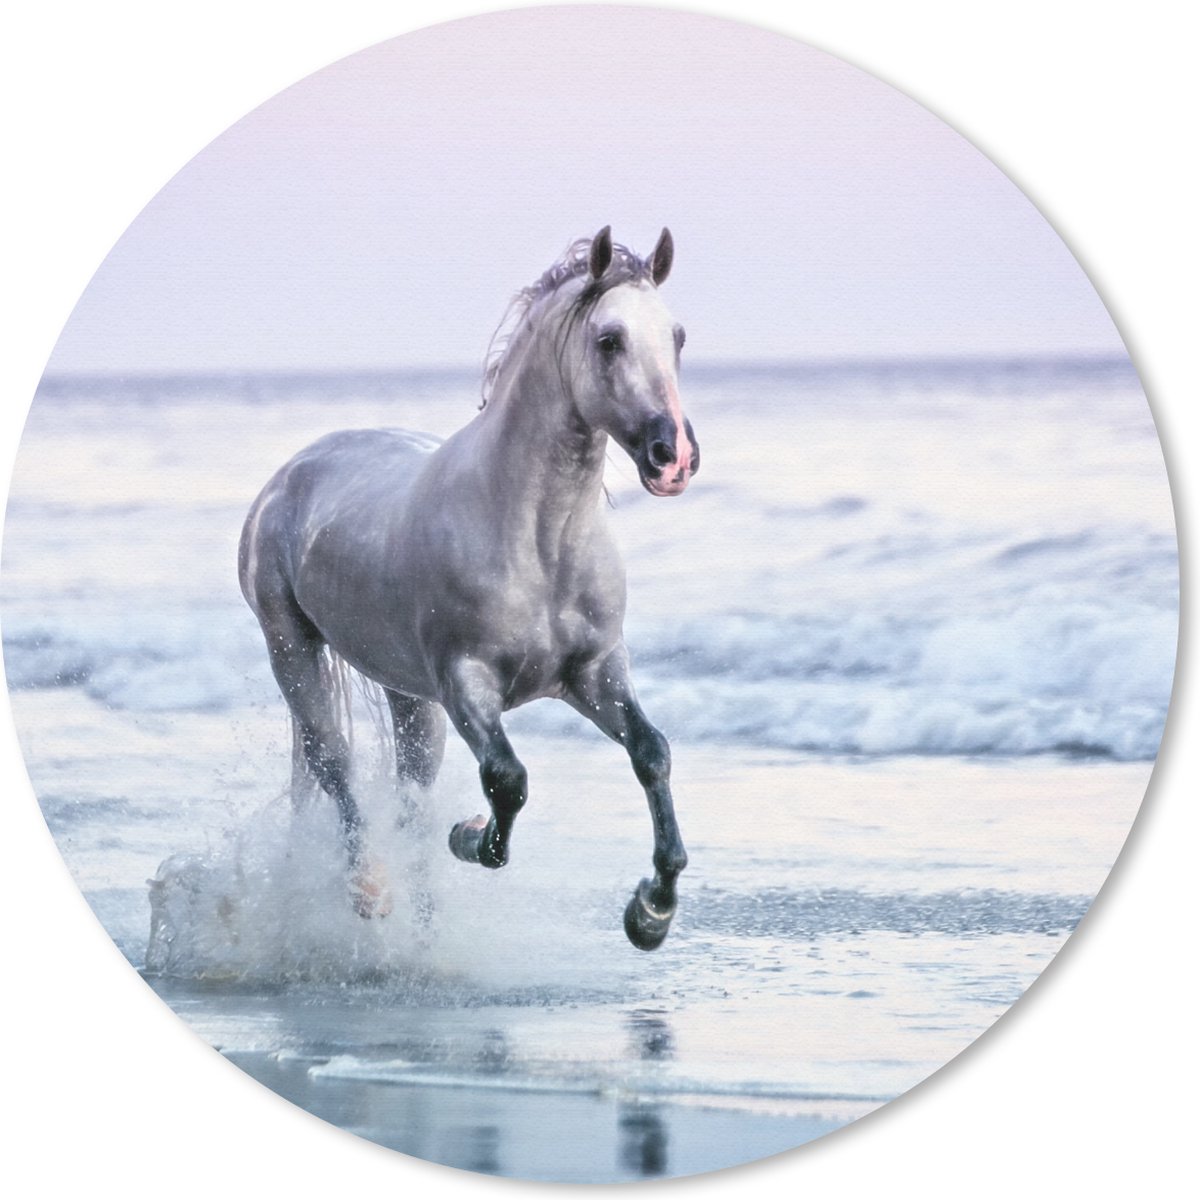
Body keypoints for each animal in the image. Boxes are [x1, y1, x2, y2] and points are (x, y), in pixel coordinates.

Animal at [238, 226, 699, 950]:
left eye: (676, 336)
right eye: (609, 339)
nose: (672, 456)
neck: (538, 541)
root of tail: (287, 477)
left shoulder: (594, 673)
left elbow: (652, 753)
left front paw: (651, 913)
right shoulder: (467, 684)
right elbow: (507, 782)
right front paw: (471, 835)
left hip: (405, 694)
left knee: (409, 793)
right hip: (294, 651)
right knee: (334, 765)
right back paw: (369, 889)